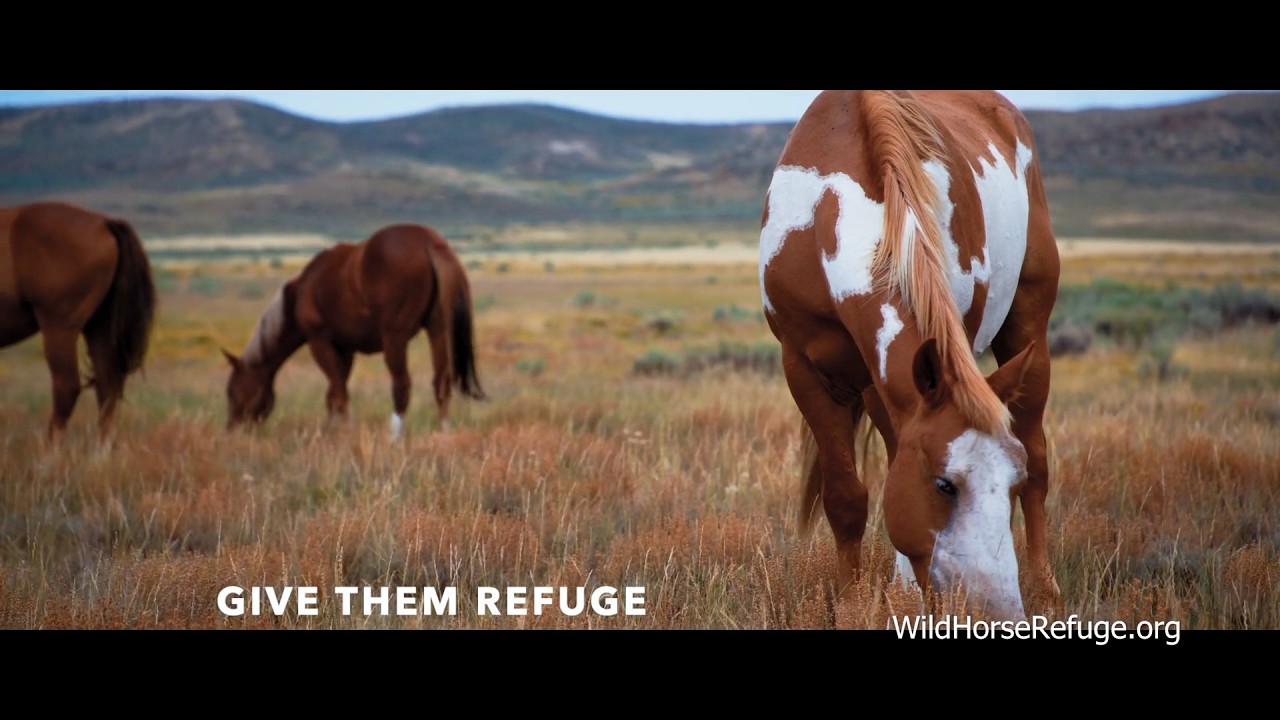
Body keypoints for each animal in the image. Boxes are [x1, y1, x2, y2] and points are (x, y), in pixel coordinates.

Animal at [0, 201, 157, 445]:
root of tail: (104, 223)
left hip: (60, 329)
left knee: (67, 388)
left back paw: (49, 452)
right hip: (99, 328)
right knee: (107, 388)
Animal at [222, 223, 485, 438]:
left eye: (232, 392)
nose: (232, 430)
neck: (303, 290)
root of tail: (428, 242)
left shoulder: (320, 342)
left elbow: (339, 393)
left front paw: (346, 432)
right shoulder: (345, 350)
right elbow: (334, 394)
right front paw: (333, 432)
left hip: (395, 339)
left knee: (401, 385)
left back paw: (394, 439)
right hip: (437, 330)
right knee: (441, 383)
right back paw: (443, 434)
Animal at [759, 90, 1061, 621]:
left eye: (1011, 481)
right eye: (944, 484)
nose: (998, 611)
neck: (828, 213)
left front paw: (899, 597)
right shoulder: (805, 368)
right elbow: (846, 496)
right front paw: (854, 605)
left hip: (1028, 333)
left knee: (1041, 462)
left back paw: (1045, 588)